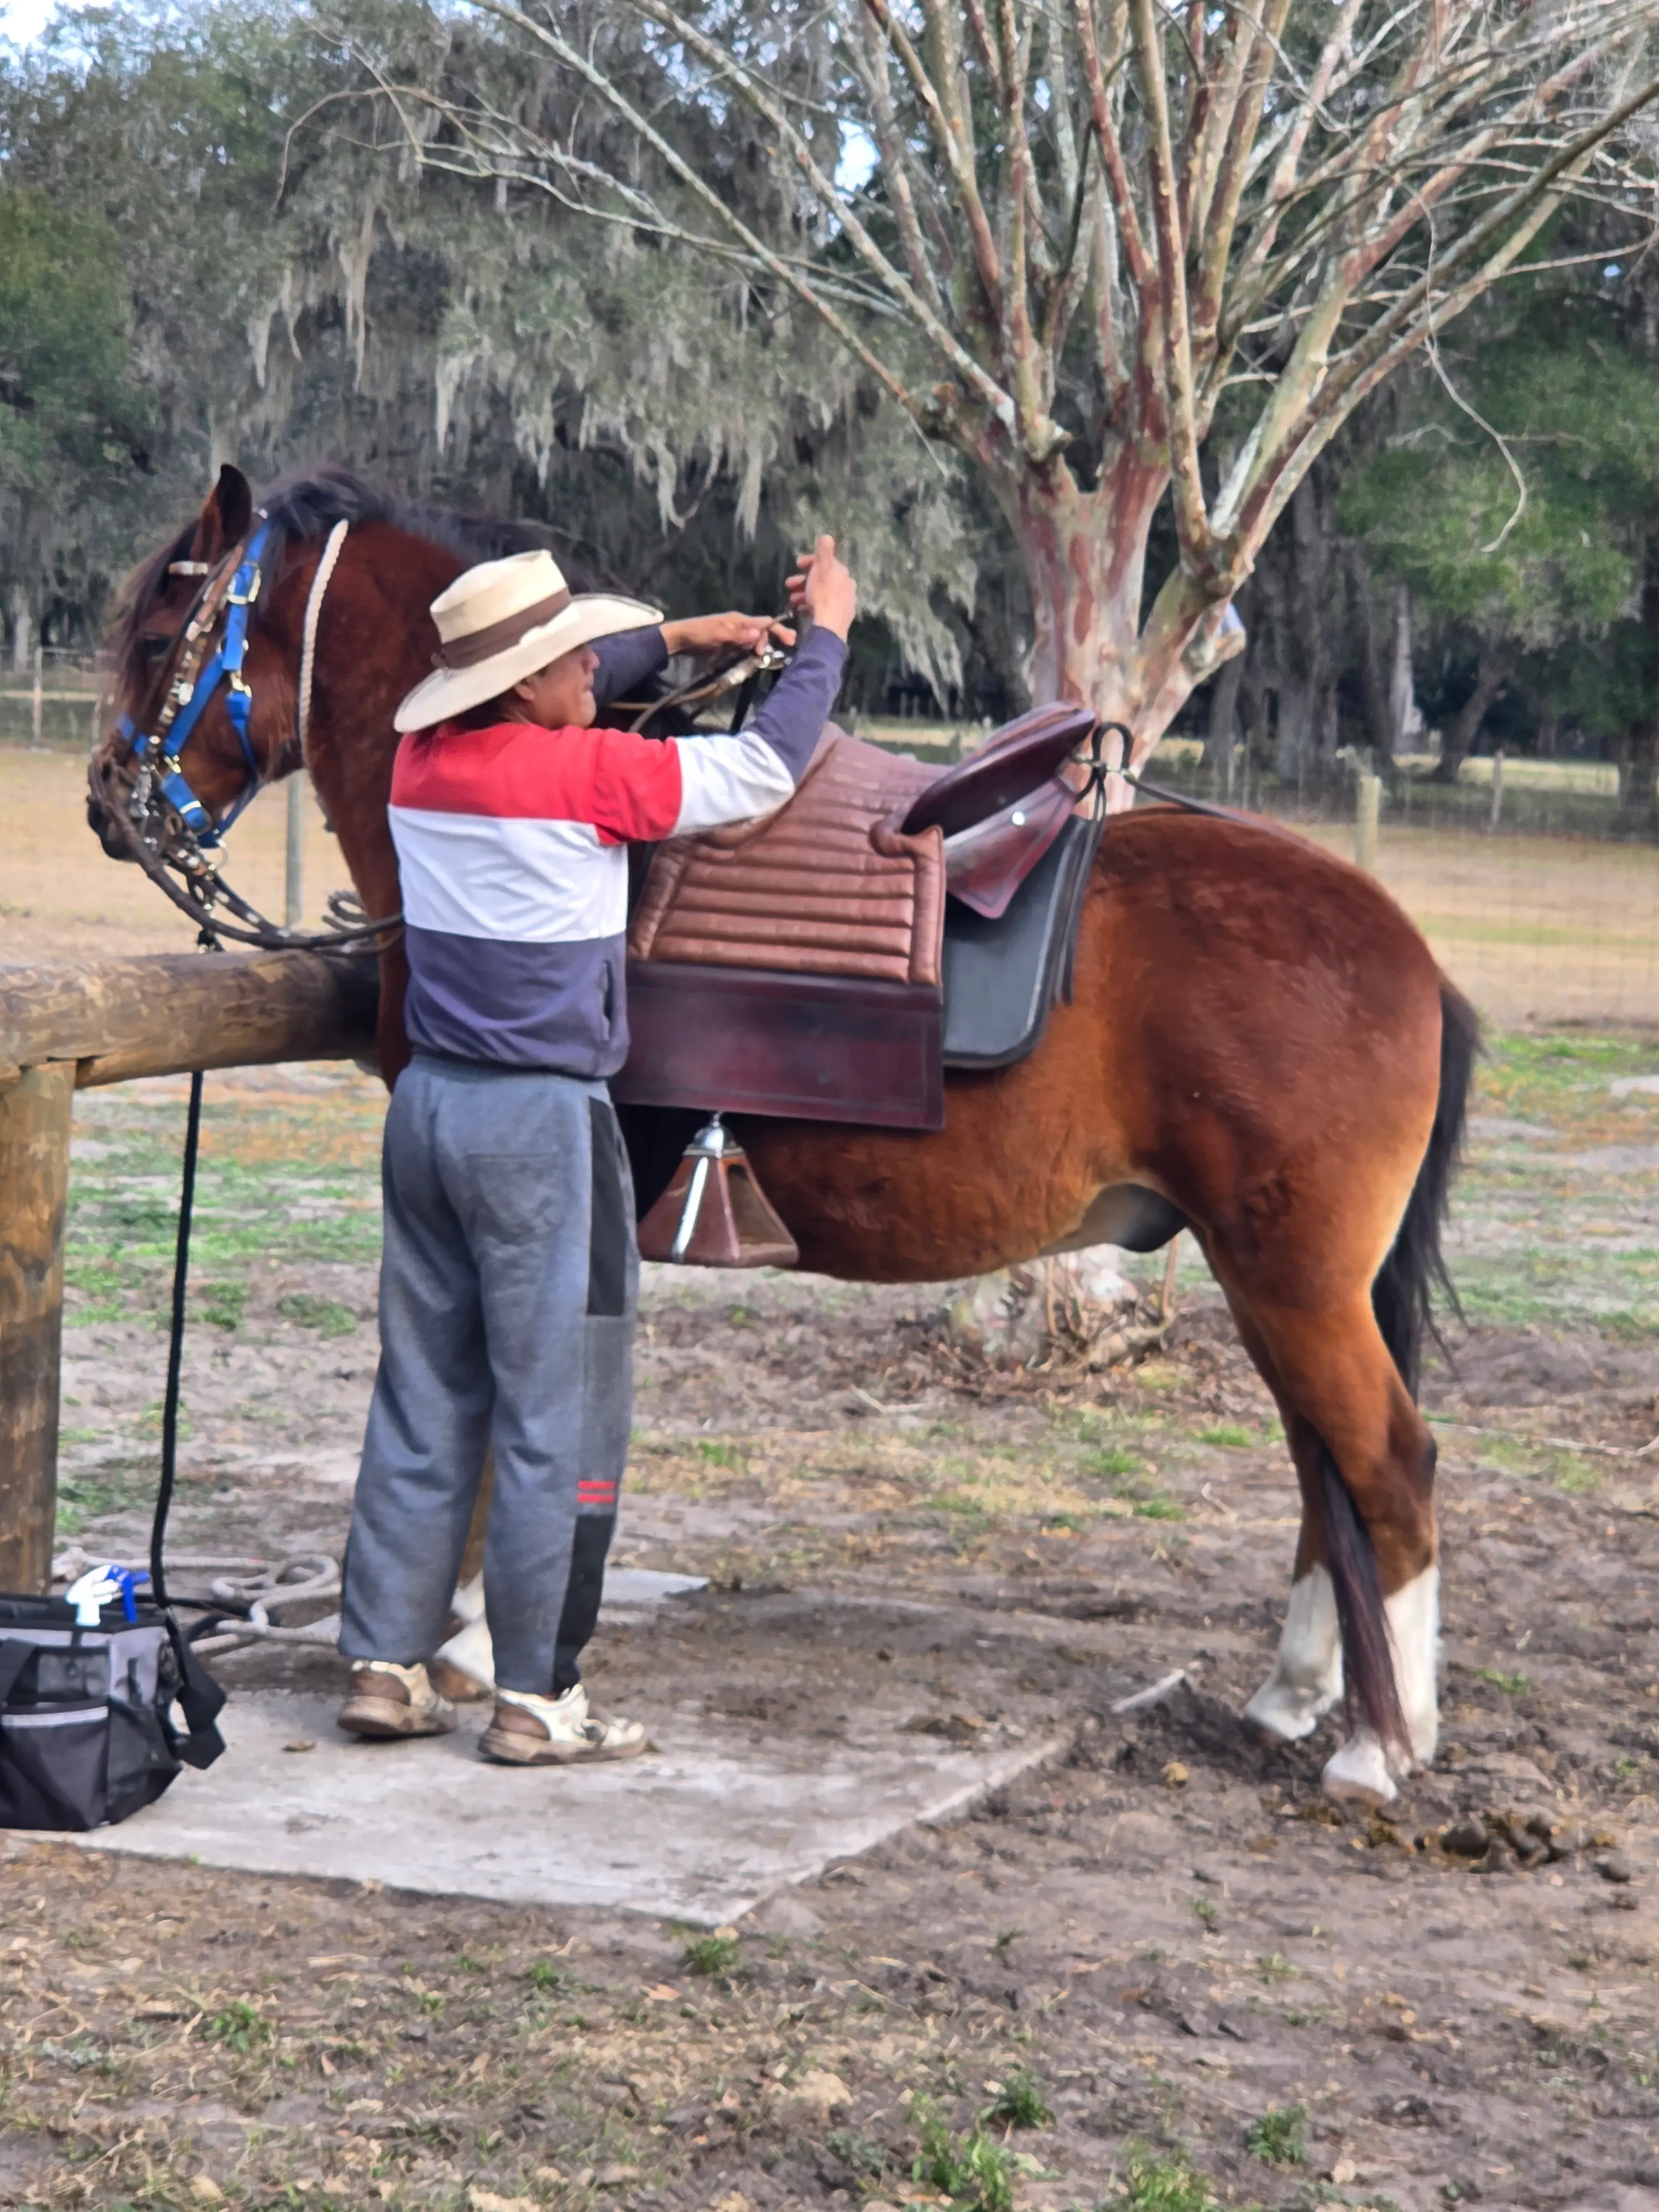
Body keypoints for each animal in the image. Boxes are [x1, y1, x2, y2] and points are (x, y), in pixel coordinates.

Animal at [89, 463, 1479, 1809]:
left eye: (158, 633)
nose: (110, 804)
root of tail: (1405, 951)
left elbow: (505, 1415)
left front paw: (477, 1640)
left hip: (1294, 1281)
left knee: (1390, 1466)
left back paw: (1382, 1743)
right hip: (1279, 1285)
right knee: (1323, 1474)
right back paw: (1297, 1695)